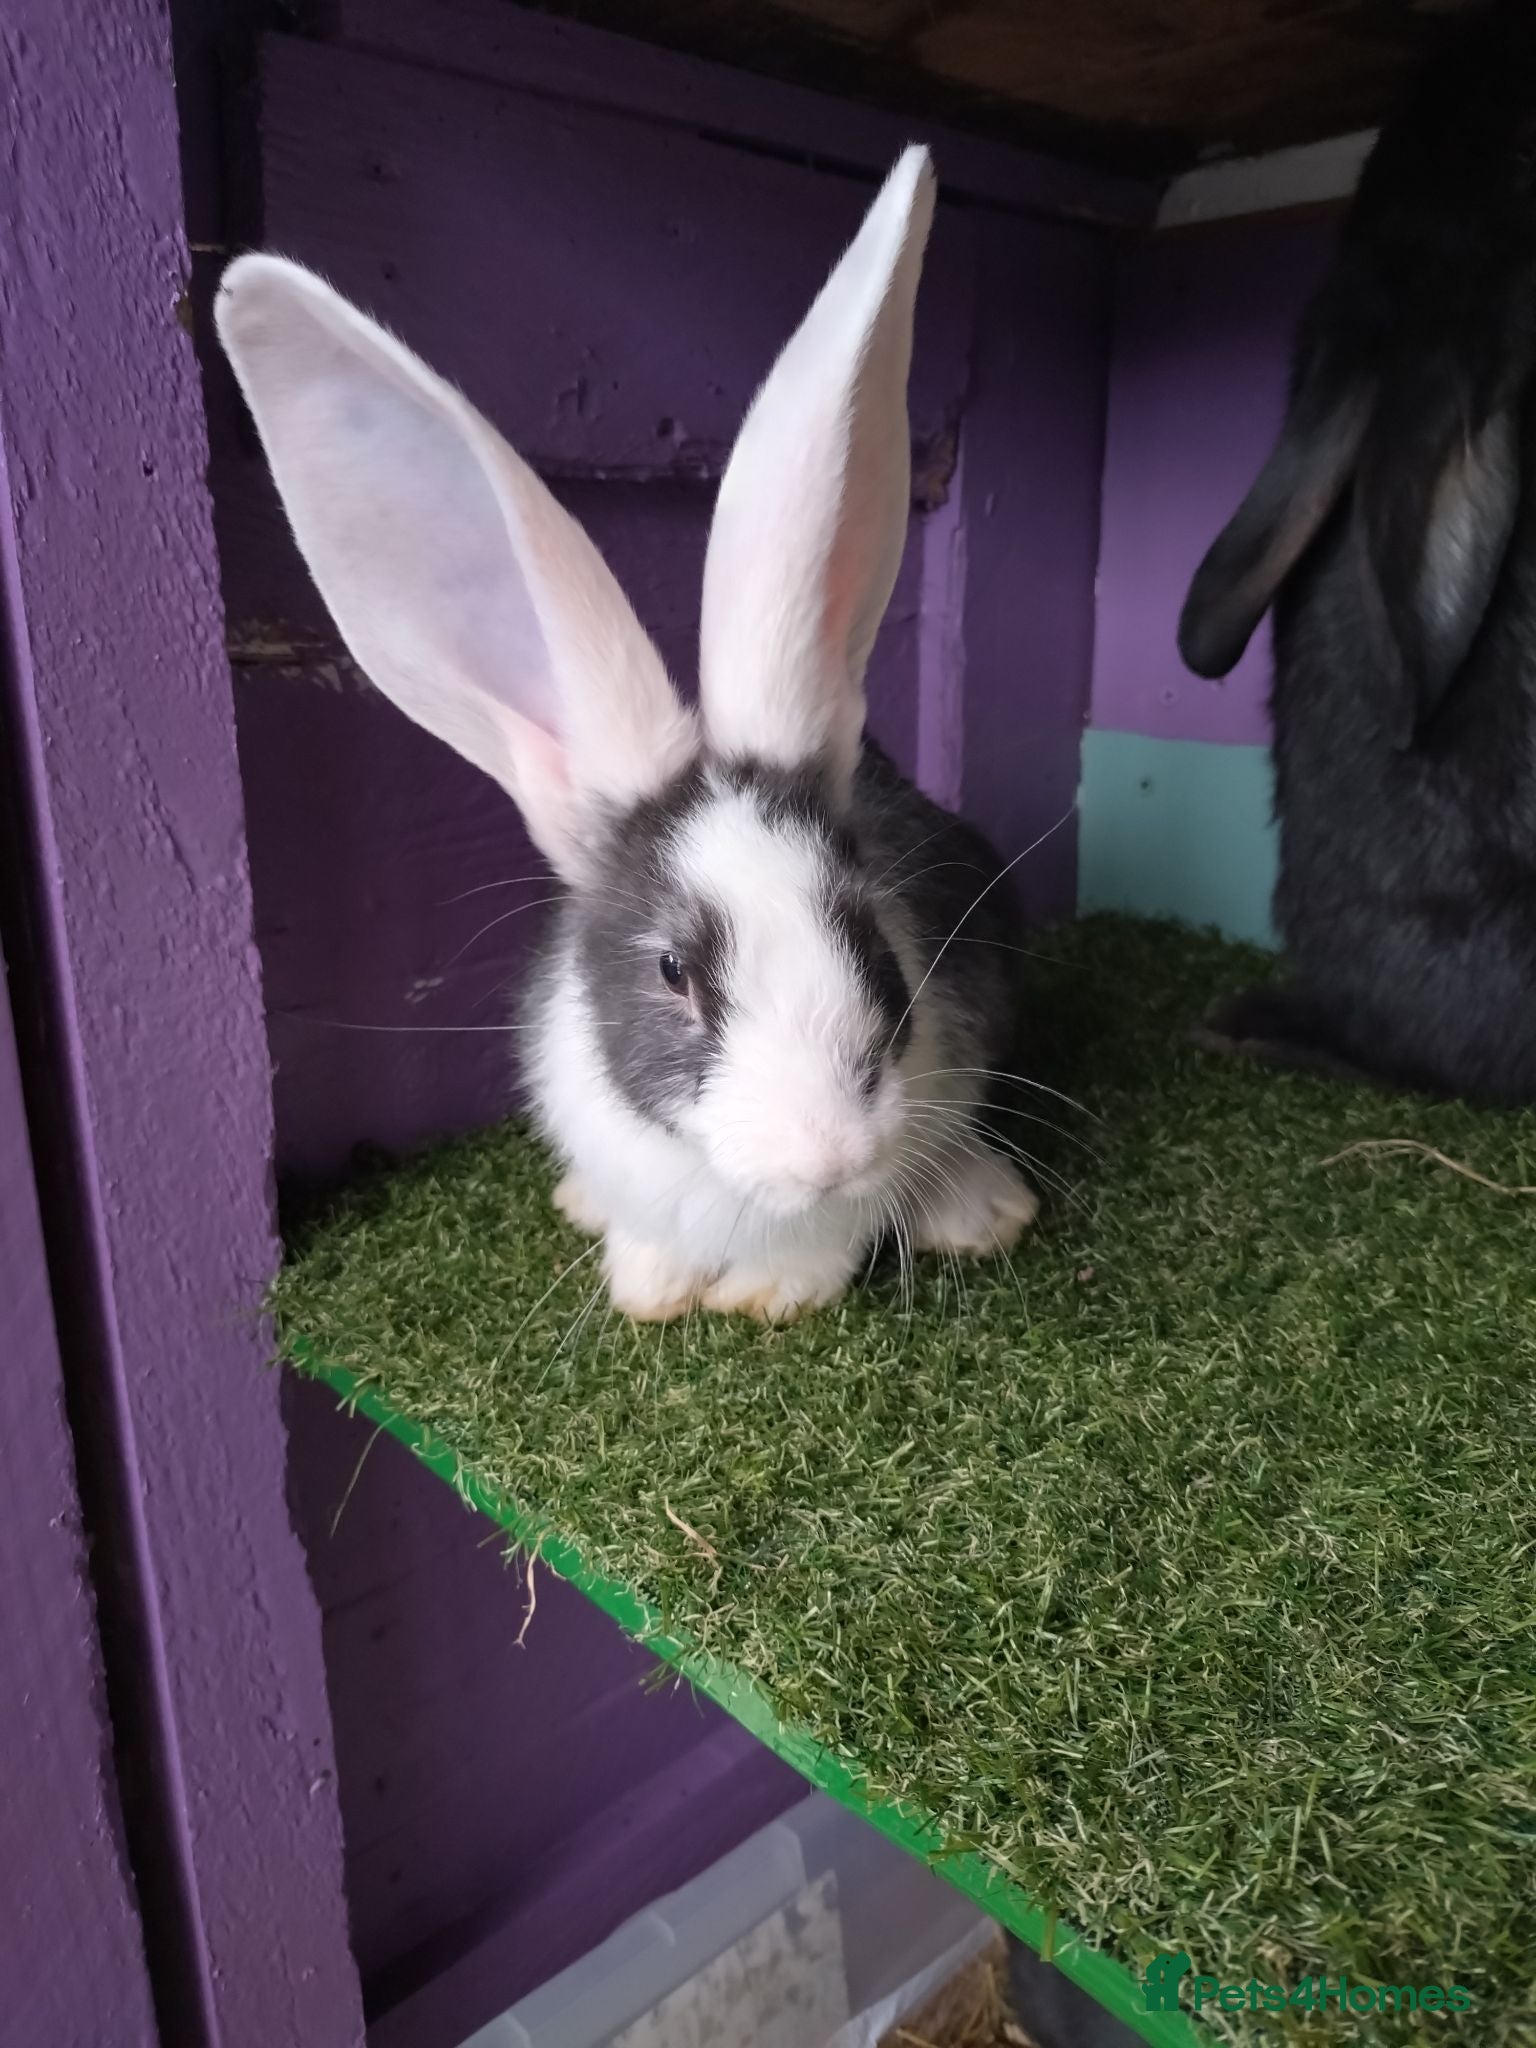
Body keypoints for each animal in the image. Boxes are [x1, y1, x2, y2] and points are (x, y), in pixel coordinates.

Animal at [216, 147, 1038, 1323]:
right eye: (670, 970)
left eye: (871, 939)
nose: (829, 1156)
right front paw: (650, 1284)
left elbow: (824, 1250)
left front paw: (771, 1294)